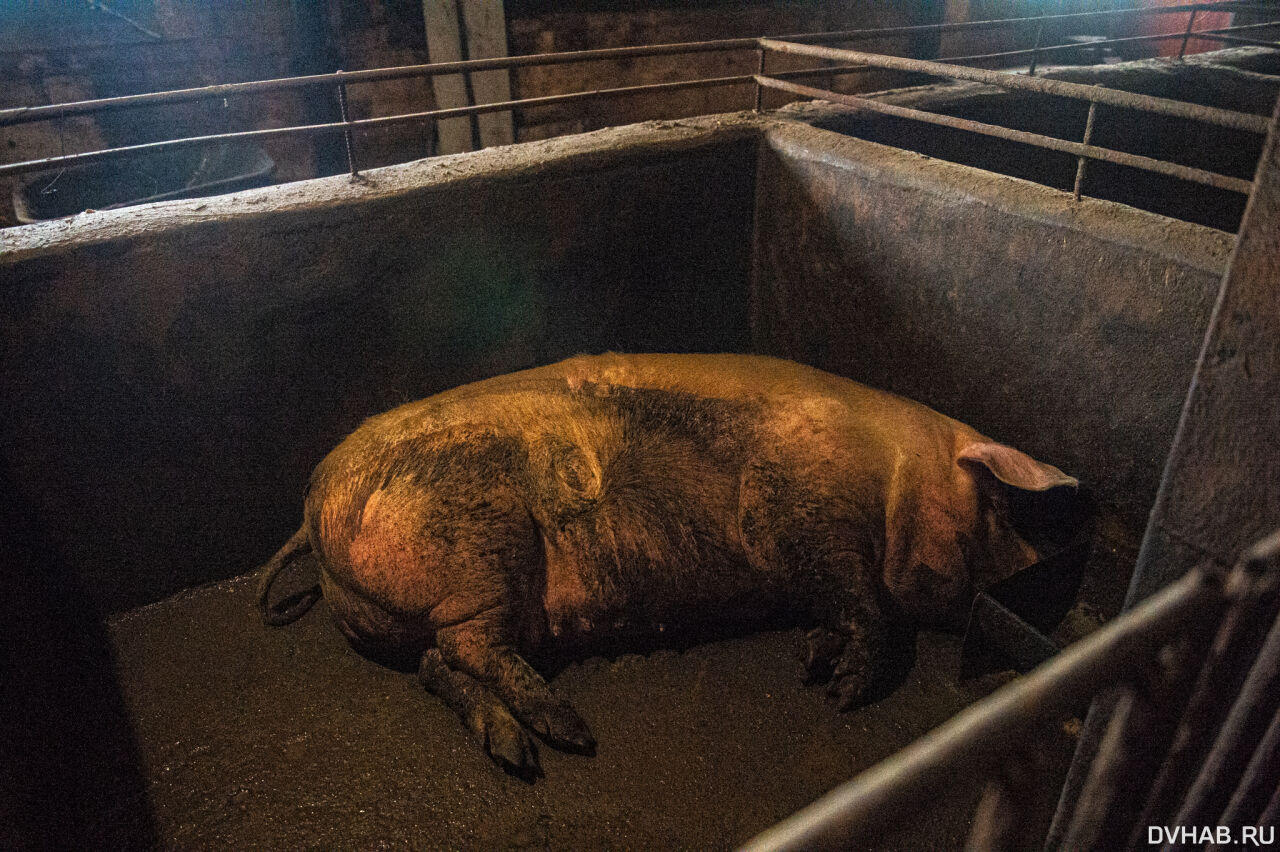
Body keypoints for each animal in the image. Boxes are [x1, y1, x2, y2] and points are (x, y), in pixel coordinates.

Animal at [262, 347, 1080, 772]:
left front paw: (813, 662)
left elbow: (842, 611)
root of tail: (313, 505)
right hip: (480, 555)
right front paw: (843, 692)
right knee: (466, 648)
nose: (1042, 573)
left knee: (439, 664)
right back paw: (570, 734)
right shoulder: (801, 511)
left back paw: (516, 750)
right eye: (998, 507)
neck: (892, 473)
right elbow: (866, 604)